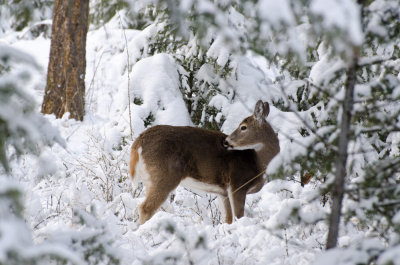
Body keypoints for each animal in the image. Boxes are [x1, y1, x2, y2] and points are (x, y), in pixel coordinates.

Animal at [130, 100, 280, 224]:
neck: (258, 162)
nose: (225, 142)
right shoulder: (238, 184)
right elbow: (238, 217)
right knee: (145, 208)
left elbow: (228, 219)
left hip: (150, 178)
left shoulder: (223, 192)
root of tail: (139, 142)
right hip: (164, 175)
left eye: (243, 127)